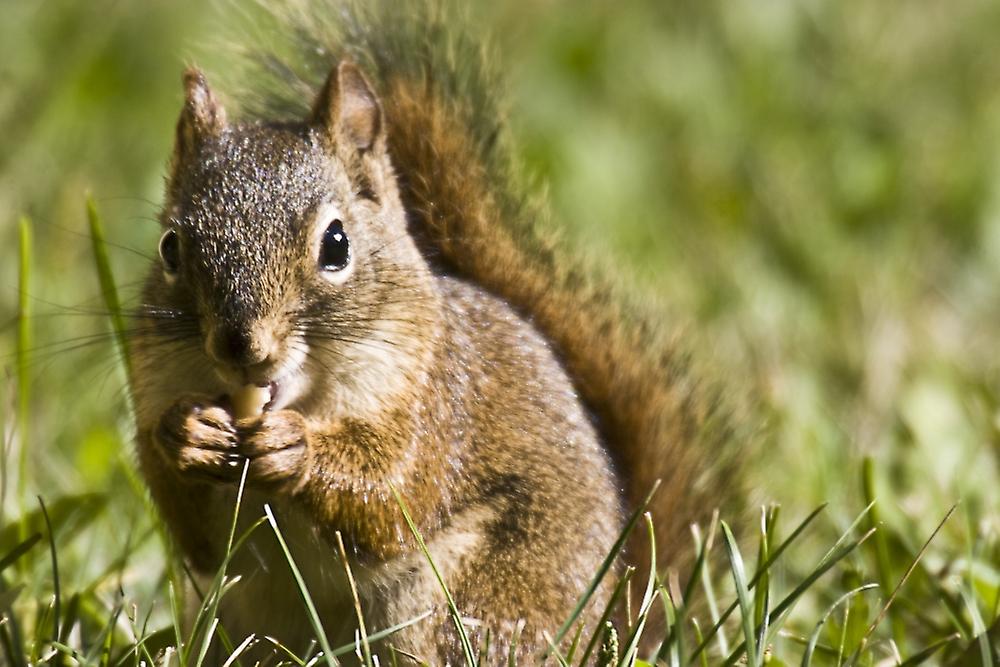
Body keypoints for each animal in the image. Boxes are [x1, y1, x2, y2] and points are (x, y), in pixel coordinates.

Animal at [129, 1, 747, 663]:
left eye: (336, 245)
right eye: (170, 247)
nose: (243, 346)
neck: (309, 397)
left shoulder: (434, 407)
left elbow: (392, 494)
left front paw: (297, 449)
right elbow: (195, 535)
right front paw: (185, 434)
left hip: (478, 603)